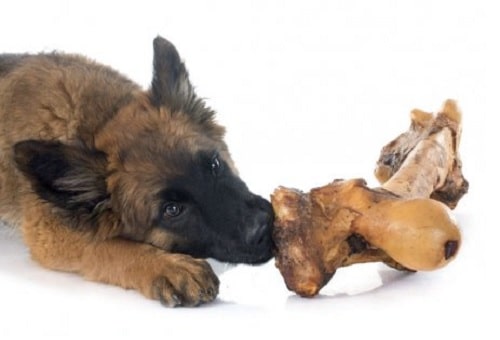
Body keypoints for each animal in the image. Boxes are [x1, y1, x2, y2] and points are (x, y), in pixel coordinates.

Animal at [0, 37, 274, 308]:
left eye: (214, 165)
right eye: (172, 210)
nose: (264, 227)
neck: (97, 123)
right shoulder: (49, 232)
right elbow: (105, 246)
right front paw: (167, 266)